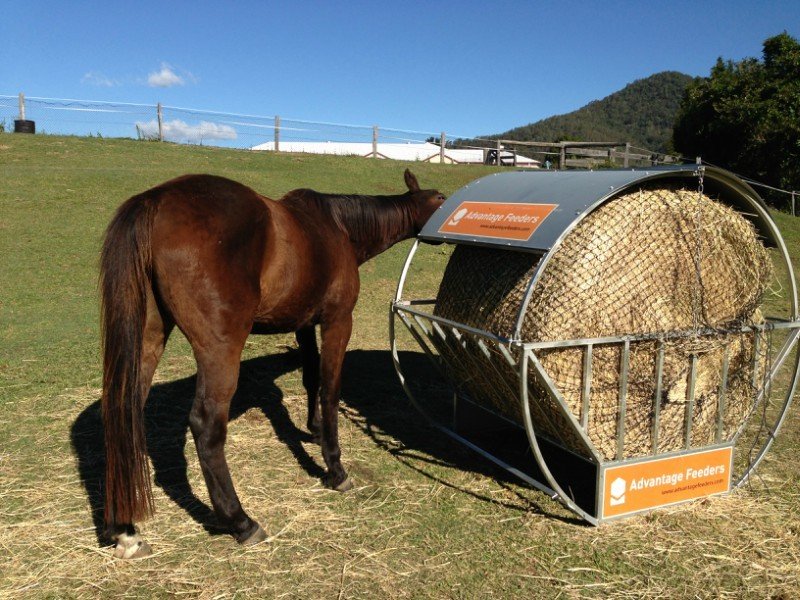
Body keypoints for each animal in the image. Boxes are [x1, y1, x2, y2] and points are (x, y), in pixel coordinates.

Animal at [100, 169, 444, 556]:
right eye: (441, 199)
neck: (337, 226)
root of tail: (155, 200)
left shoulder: (305, 323)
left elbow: (312, 377)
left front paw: (315, 428)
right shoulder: (338, 320)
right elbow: (330, 388)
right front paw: (335, 468)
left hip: (148, 338)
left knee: (122, 412)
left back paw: (124, 529)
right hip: (220, 350)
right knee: (206, 427)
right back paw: (241, 521)